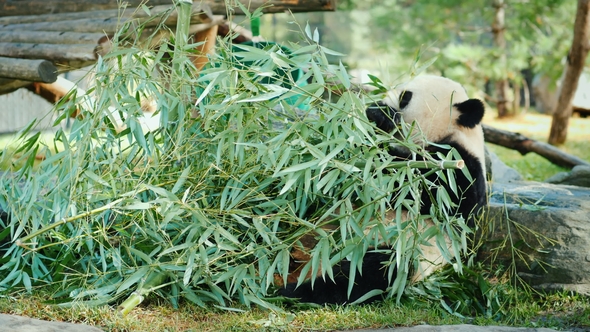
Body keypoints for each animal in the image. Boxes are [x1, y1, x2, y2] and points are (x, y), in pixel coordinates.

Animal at [280, 74, 488, 304]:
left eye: (405, 96)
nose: (381, 103)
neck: (451, 133)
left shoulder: (458, 170)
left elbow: (406, 185)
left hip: (401, 251)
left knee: (367, 273)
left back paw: (292, 292)